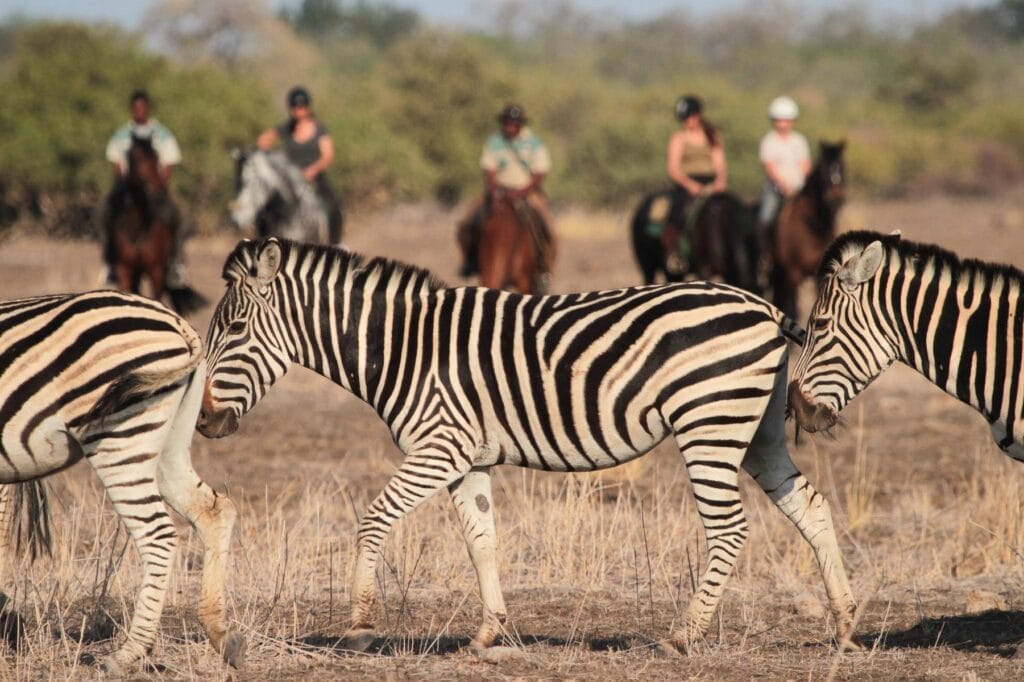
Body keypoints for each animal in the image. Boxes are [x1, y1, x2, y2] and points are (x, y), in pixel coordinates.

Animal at [0, 291, 244, 672]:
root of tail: (179, 325)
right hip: (170, 442)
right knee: (213, 510)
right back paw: (221, 634)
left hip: (118, 437)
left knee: (158, 535)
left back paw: (129, 653)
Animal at [198, 237, 858, 654]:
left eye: (234, 330)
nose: (202, 422)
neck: (403, 345)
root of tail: (763, 305)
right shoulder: (467, 459)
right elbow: (482, 541)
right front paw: (488, 633)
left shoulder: (437, 447)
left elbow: (374, 518)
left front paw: (359, 626)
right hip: (755, 429)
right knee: (811, 506)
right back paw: (845, 625)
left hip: (709, 422)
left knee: (728, 527)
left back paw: (683, 636)